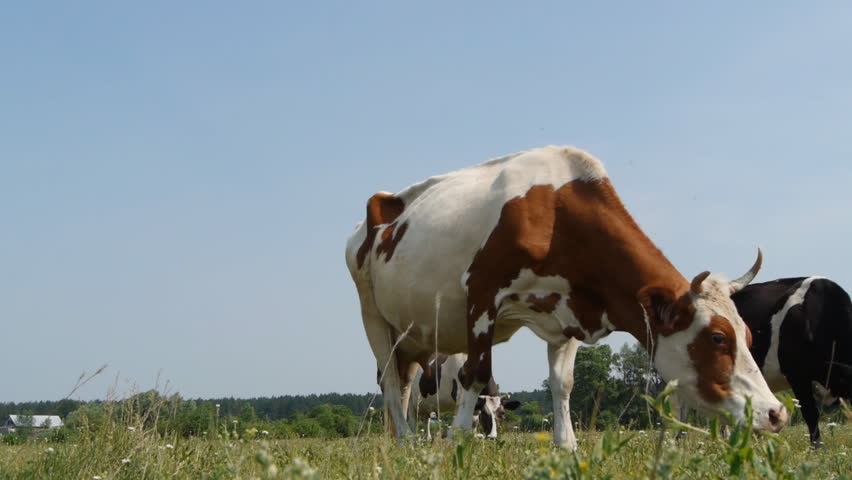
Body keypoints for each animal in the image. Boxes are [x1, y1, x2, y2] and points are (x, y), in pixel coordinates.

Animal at [345, 145, 788, 448]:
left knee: (403, 382)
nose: (776, 412)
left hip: (413, 334)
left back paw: (404, 441)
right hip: (371, 314)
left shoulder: (570, 311)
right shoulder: (482, 295)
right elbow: (476, 373)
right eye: (717, 338)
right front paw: (457, 440)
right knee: (388, 378)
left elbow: (564, 383)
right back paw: (406, 440)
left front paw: (567, 444)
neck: (554, 214)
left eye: (749, 336)